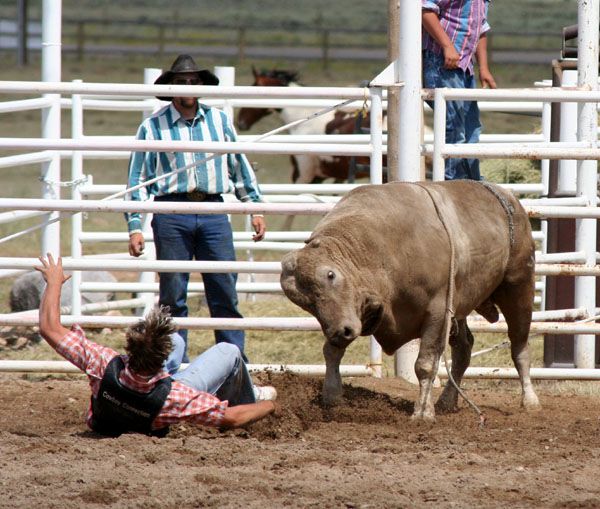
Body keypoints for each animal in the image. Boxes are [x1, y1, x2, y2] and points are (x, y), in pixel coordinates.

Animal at [280, 181, 540, 418]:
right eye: (306, 303)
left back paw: (529, 400)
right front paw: (331, 396)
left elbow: (425, 364)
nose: (340, 332)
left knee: (519, 346)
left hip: (518, 286)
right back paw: (447, 401)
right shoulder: (353, 313)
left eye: (330, 274)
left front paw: (423, 412)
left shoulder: (438, 311)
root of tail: (507, 196)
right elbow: (331, 351)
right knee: (463, 350)